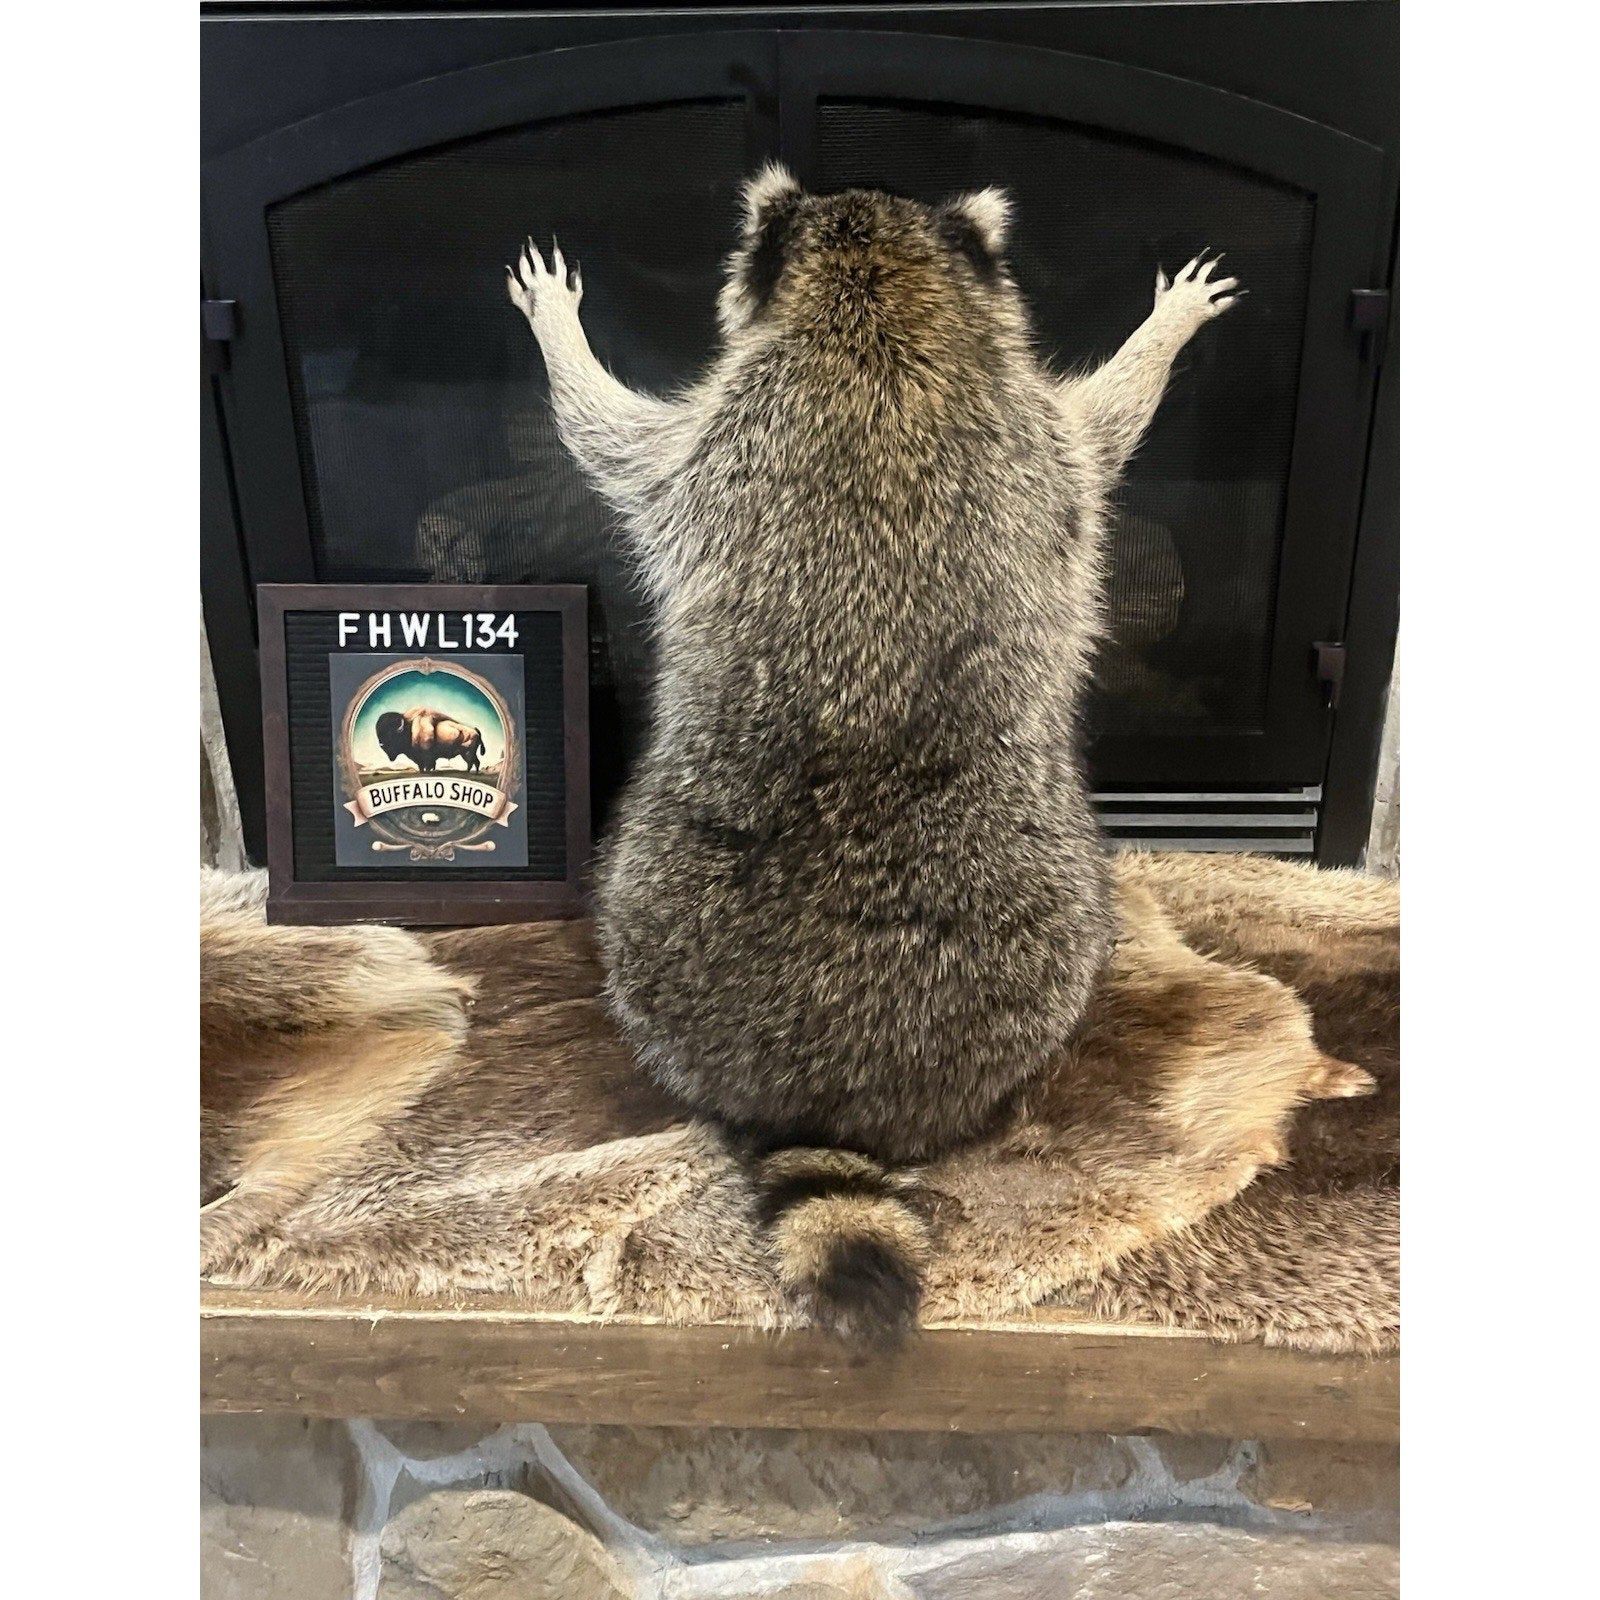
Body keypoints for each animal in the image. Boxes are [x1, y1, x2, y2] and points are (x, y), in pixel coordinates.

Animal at [508, 166, 1240, 1342]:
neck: (882, 300)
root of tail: (824, 1088)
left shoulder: (972, 427)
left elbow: (1106, 424)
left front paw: (1157, 336)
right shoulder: (757, 432)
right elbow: (610, 440)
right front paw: (559, 333)